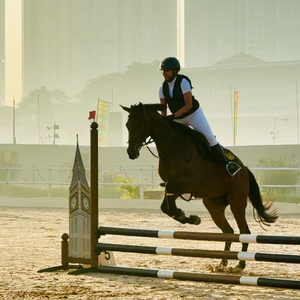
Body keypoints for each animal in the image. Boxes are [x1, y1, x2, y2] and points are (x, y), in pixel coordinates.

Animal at [120, 102, 278, 272]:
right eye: (127, 125)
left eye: (138, 124)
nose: (131, 152)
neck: (171, 145)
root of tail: (244, 170)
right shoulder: (173, 186)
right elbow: (167, 207)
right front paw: (189, 217)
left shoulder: (185, 183)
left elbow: (168, 206)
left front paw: (188, 217)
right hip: (213, 205)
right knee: (228, 231)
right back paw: (222, 263)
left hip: (237, 202)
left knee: (244, 231)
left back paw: (240, 265)